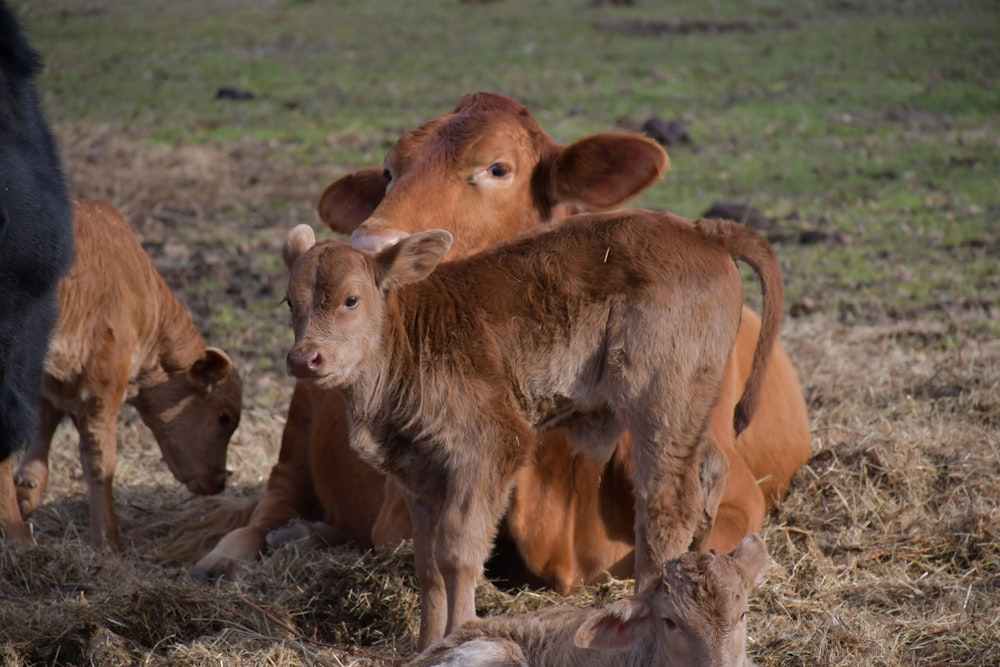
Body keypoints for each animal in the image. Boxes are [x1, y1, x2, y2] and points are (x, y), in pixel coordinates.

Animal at [15, 200, 244, 552]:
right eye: (224, 417)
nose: (219, 481)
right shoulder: (101, 388)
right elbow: (100, 459)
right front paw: (108, 542)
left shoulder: (52, 382)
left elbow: (42, 429)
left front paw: (27, 493)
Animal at [280, 207, 780, 648]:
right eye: (290, 301)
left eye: (351, 299)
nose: (304, 359)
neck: (409, 335)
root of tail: (700, 231)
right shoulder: (419, 476)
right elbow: (427, 565)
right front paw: (422, 645)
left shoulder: (491, 451)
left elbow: (458, 552)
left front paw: (458, 634)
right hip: (689, 409)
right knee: (709, 472)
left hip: (658, 402)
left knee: (666, 502)